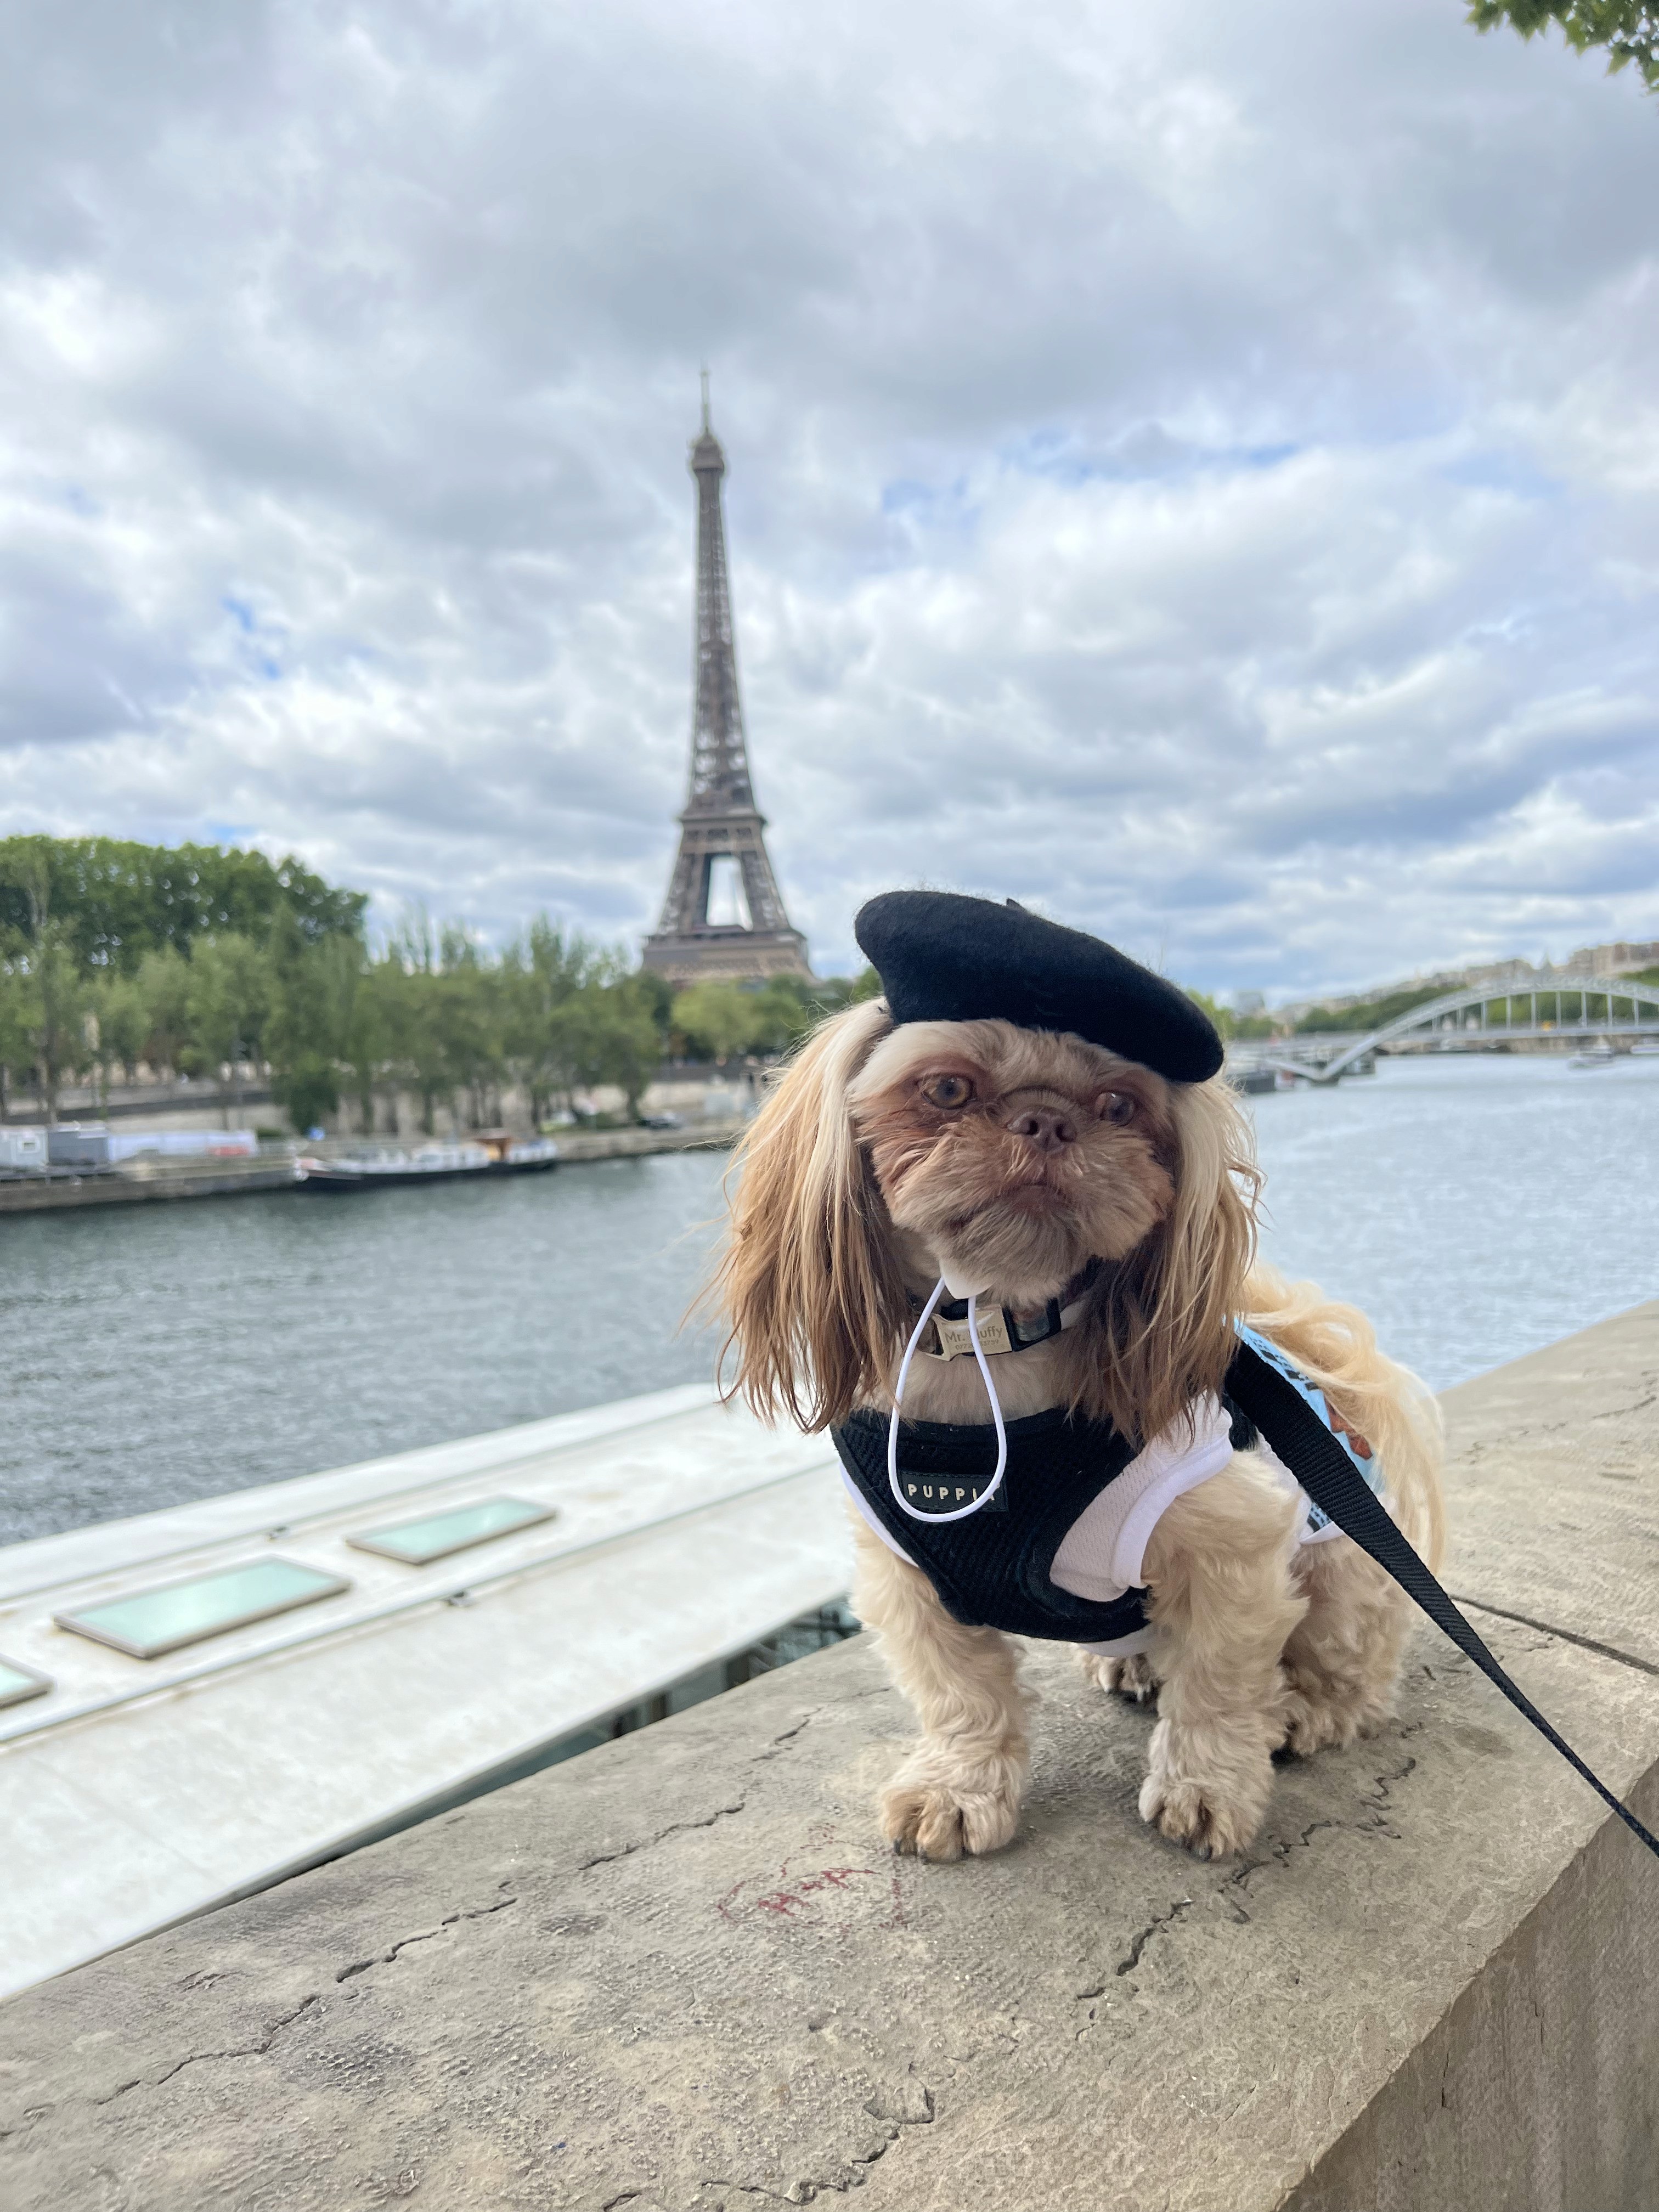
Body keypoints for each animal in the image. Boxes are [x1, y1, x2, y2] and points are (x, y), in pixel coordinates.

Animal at [710, 914, 1444, 1865]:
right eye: (946, 1088)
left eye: (1121, 1107)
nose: (1048, 1121)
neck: (990, 1341)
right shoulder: (907, 1576)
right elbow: (960, 1693)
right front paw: (959, 1787)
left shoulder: (1237, 1552)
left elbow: (1218, 1686)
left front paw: (1208, 1786)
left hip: (1342, 1571)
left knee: (1349, 1663)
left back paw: (1310, 1709)